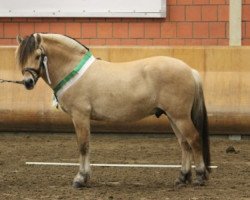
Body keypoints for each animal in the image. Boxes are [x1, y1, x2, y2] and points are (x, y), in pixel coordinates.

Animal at [15, 32, 210, 188]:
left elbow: (83, 146)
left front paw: (80, 179)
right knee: (184, 144)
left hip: (180, 117)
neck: (73, 70)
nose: (28, 82)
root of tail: (190, 70)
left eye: (38, 56)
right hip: (172, 117)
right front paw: (85, 177)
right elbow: (86, 146)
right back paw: (182, 178)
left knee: (193, 139)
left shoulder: (80, 116)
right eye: (21, 57)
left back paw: (200, 177)